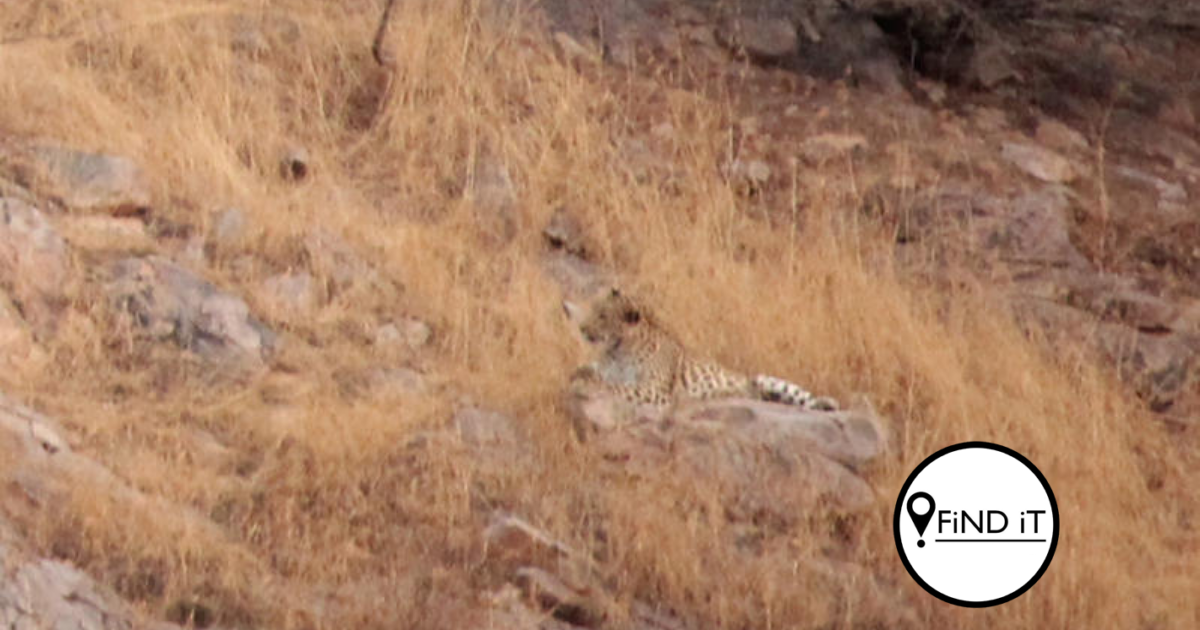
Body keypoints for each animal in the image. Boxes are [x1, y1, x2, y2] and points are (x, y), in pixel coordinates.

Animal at [563, 288, 837, 411]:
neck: (618, 349)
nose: (582, 328)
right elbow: (592, 371)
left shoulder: (655, 391)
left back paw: (825, 404)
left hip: (766, 379)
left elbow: (617, 387)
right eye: (592, 309)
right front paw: (580, 374)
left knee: (800, 396)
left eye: (602, 315)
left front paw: (586, 383)